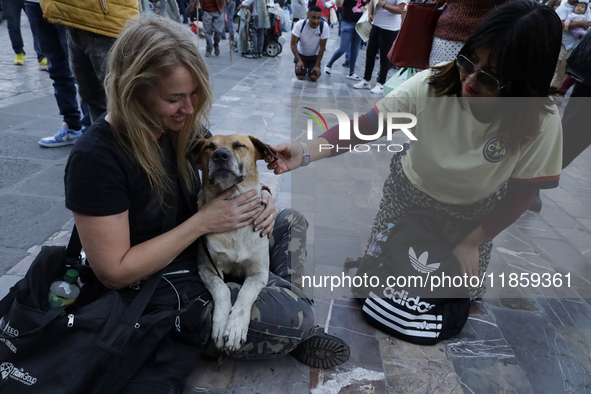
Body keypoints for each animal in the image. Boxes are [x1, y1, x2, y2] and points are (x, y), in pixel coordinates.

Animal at [194, 134, 278, 352]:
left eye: (239, 145)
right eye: (209, 147)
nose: (220, 155)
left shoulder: (259, 273)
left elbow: (246, 293)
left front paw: (235, 328)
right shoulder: (207, 269)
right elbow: (222, 290)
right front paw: (222, 323)